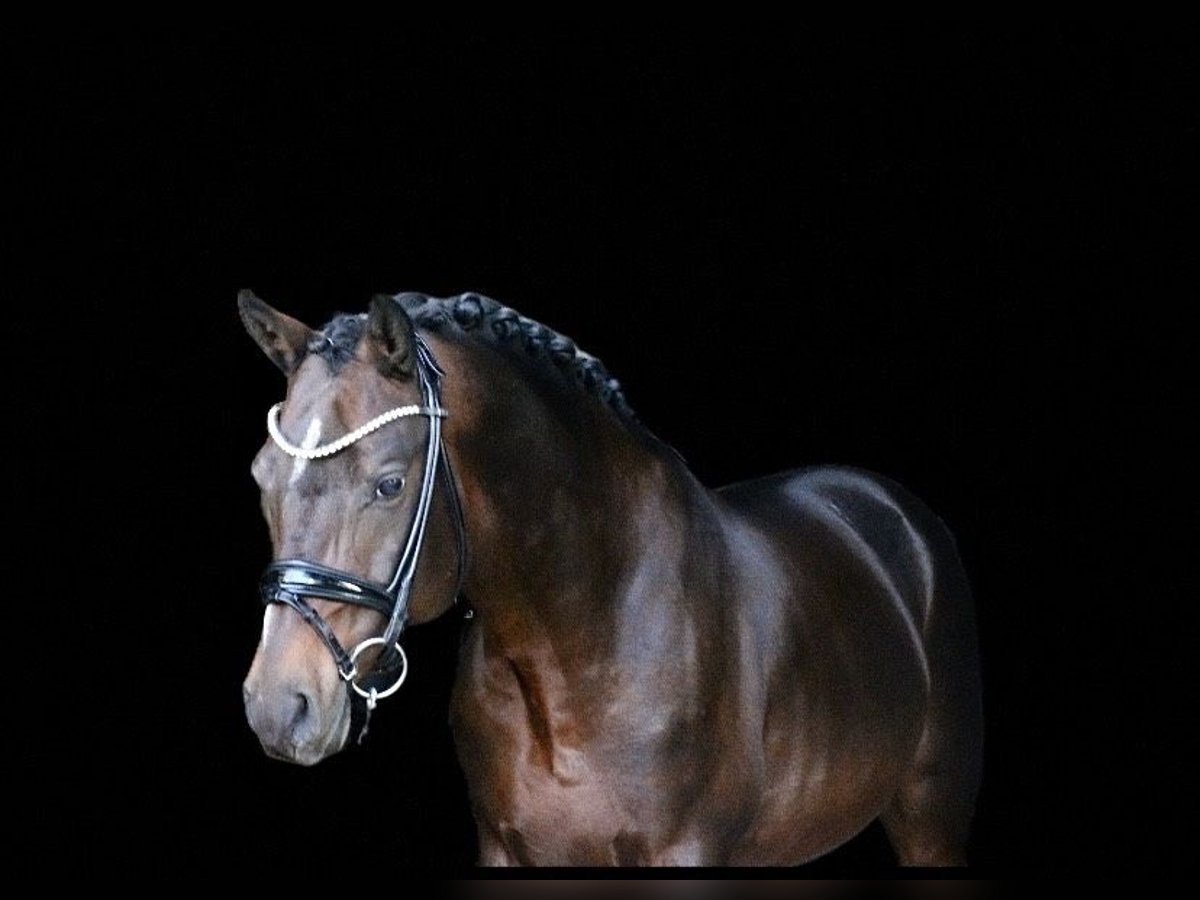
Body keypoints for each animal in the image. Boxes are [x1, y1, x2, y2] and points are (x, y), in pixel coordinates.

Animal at [238, 289, 979, 868]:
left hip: (932, 817)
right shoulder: (509, 851)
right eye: (261, 475)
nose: (278, 706)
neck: (581, 634)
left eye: (389, 484)